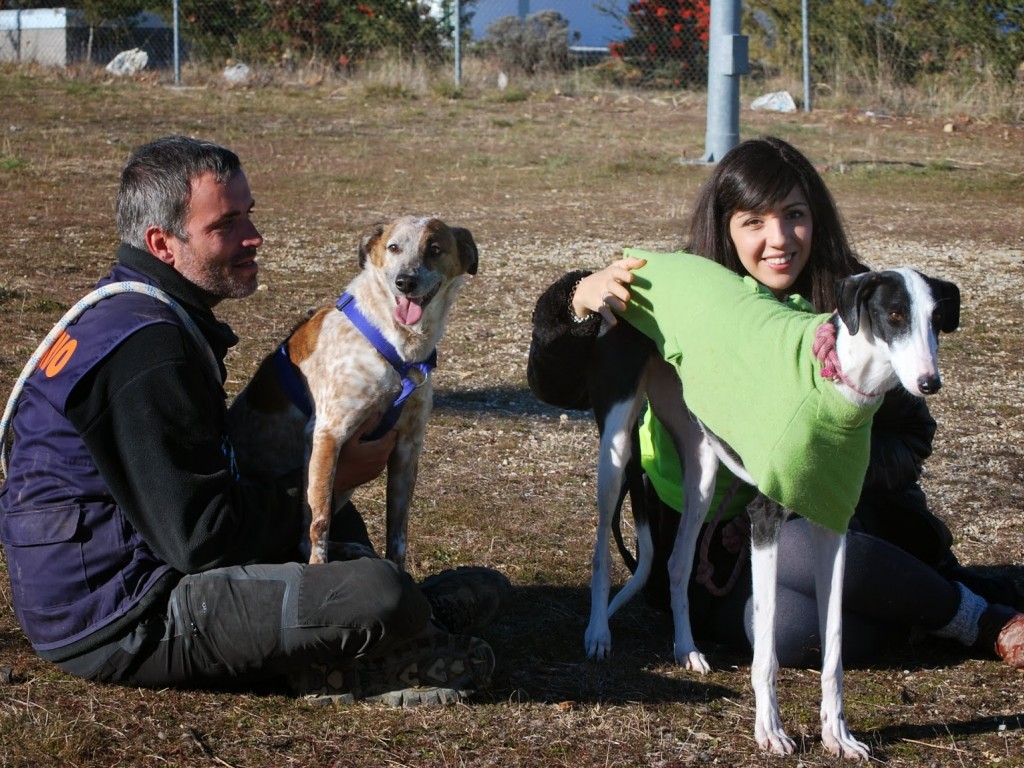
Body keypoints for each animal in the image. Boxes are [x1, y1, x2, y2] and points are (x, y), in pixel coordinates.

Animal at [226, 217, 477, 565]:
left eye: (435, 249)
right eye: (393, 247)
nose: (405, 282)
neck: (400, 349)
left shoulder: (408, 446)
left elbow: (398, 531)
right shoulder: (327, 434)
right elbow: (319, 522)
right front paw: (319, 570)